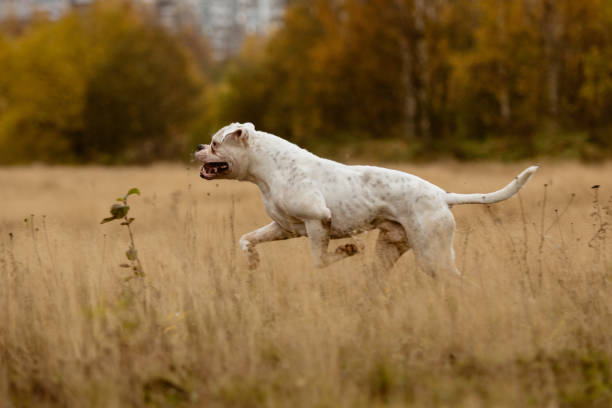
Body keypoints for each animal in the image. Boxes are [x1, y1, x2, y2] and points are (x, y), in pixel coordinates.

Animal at [194, 122, 536, 276]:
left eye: (215, 143)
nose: (198, 146)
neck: (267, 168)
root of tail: (443, 195)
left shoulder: (317, 222)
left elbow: (321, 260)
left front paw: (347, 249)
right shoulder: (285, 228)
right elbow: (246, 239)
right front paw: (252, 261)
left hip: (431, 252)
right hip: (390, 249)